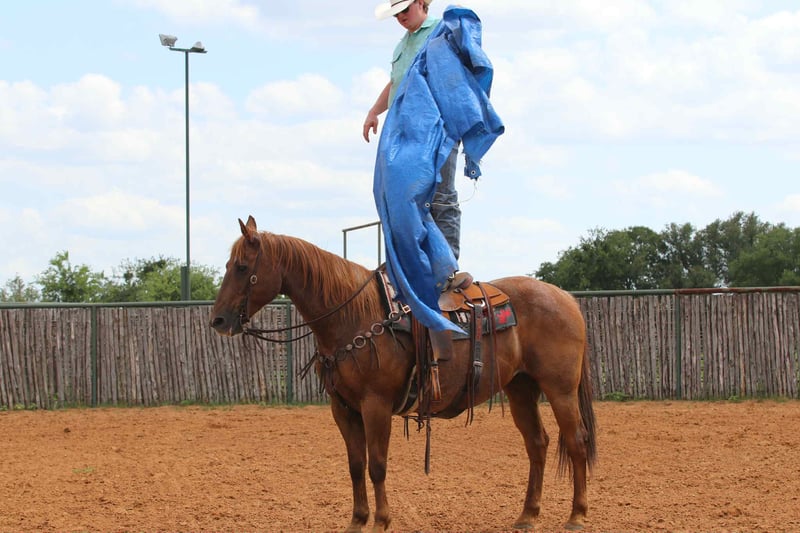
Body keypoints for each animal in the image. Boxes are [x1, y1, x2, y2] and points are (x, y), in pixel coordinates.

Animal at [210, 216, 597, 532]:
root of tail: (566, 298)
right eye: (228, 264)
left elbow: (377, 465)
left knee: (576, 441)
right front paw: (357, 520)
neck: (355, 314)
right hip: (521, 389)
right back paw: (527, 515)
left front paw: (381, 521)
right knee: (538, 444)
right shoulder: (343, 409)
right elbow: (356, 464)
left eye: (242, 267)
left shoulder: (376, 405)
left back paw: (577, 515)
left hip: (560, 390)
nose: (219, 320)